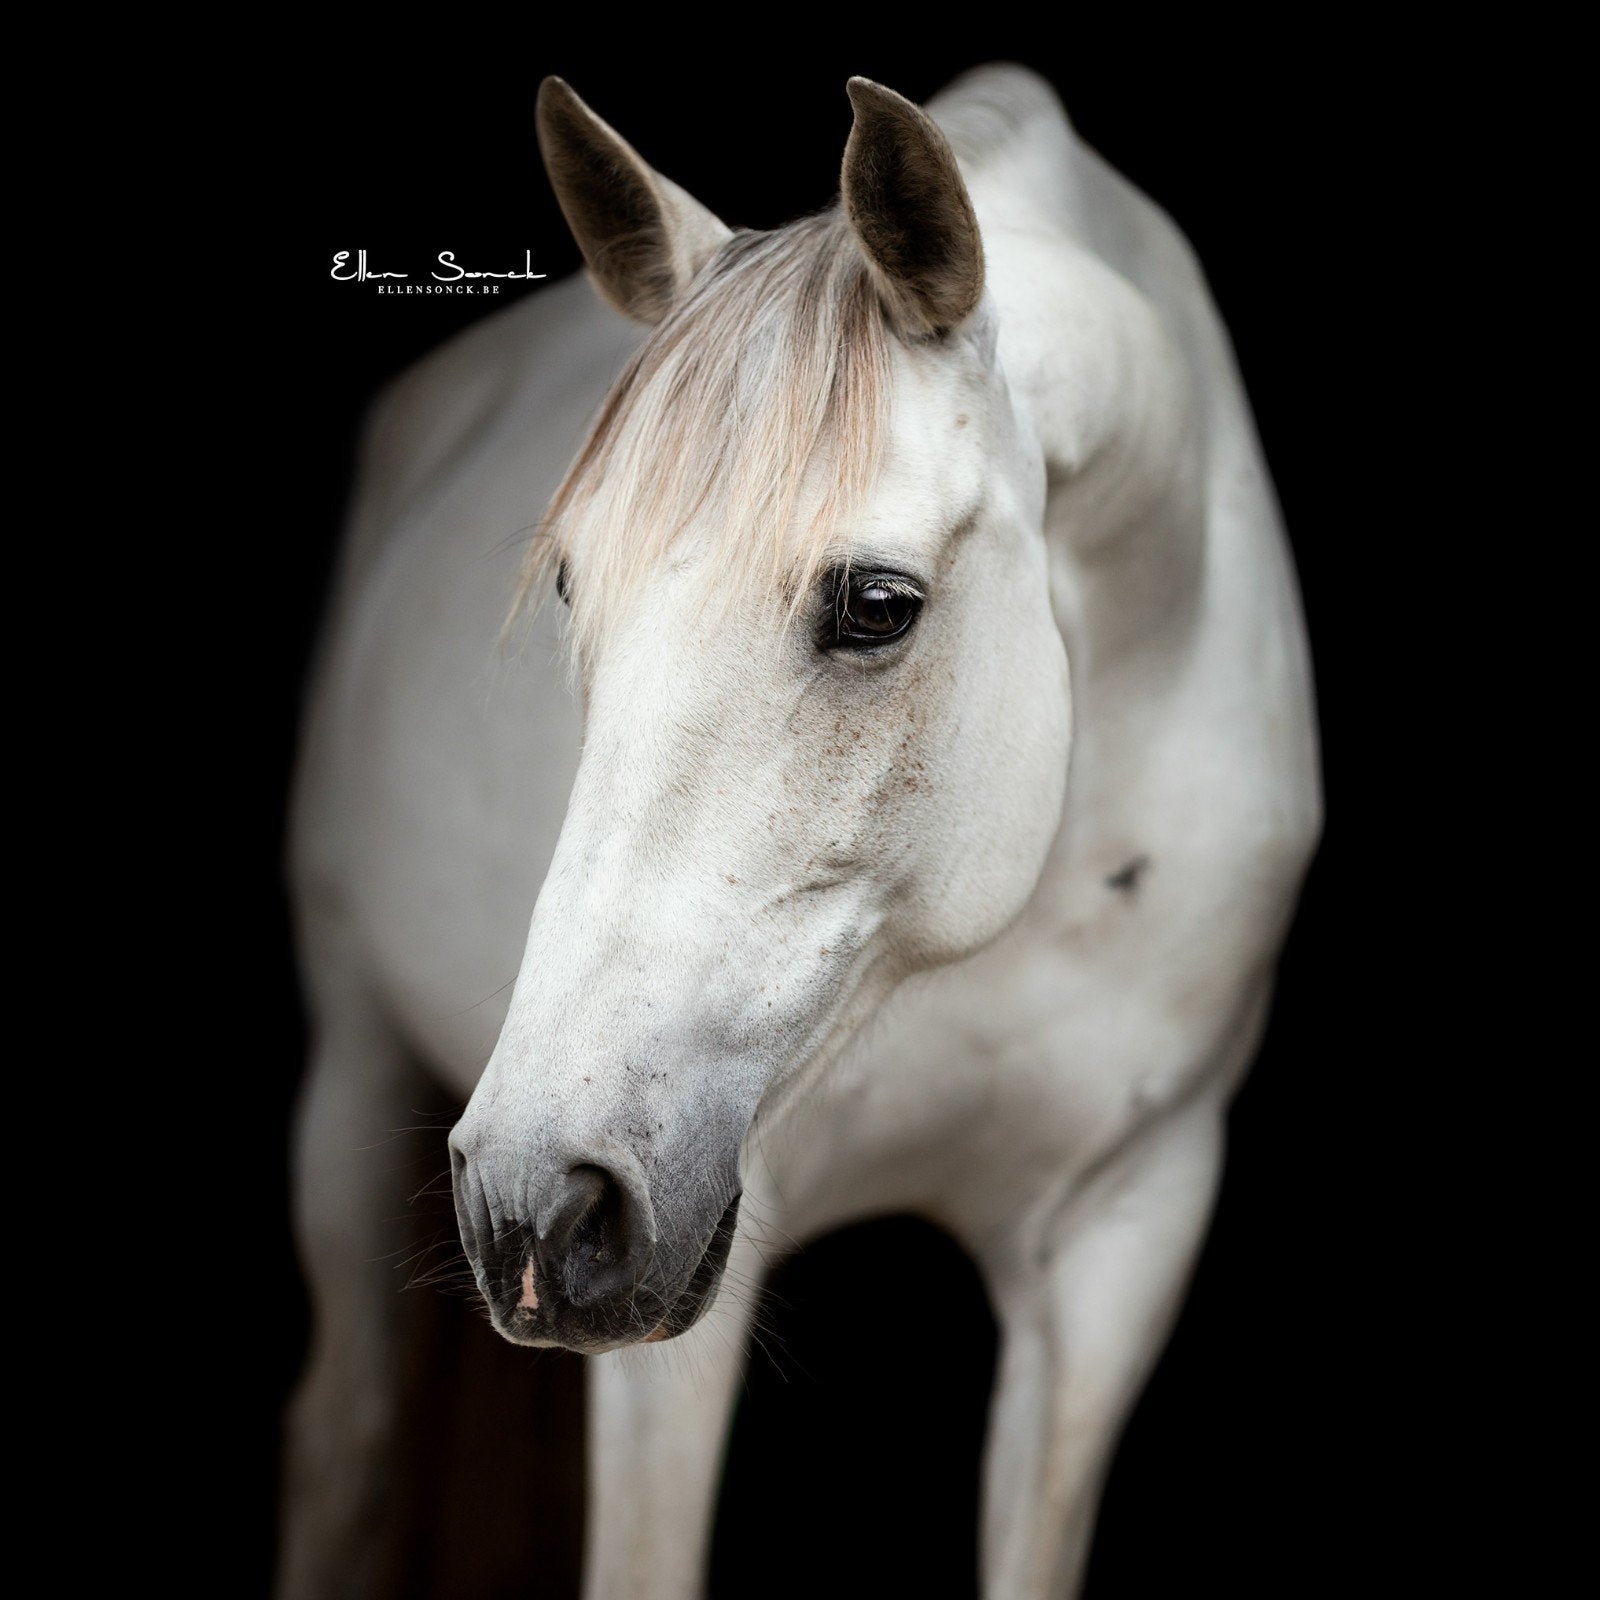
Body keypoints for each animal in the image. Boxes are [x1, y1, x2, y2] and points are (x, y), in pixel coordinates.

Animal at [281, 63, 1321, 1599]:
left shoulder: (1122, 1236)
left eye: (876, 605)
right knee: (345, 1439)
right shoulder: (694, 1264)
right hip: (355, 1057)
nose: (534, 1205)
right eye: (573, 586)